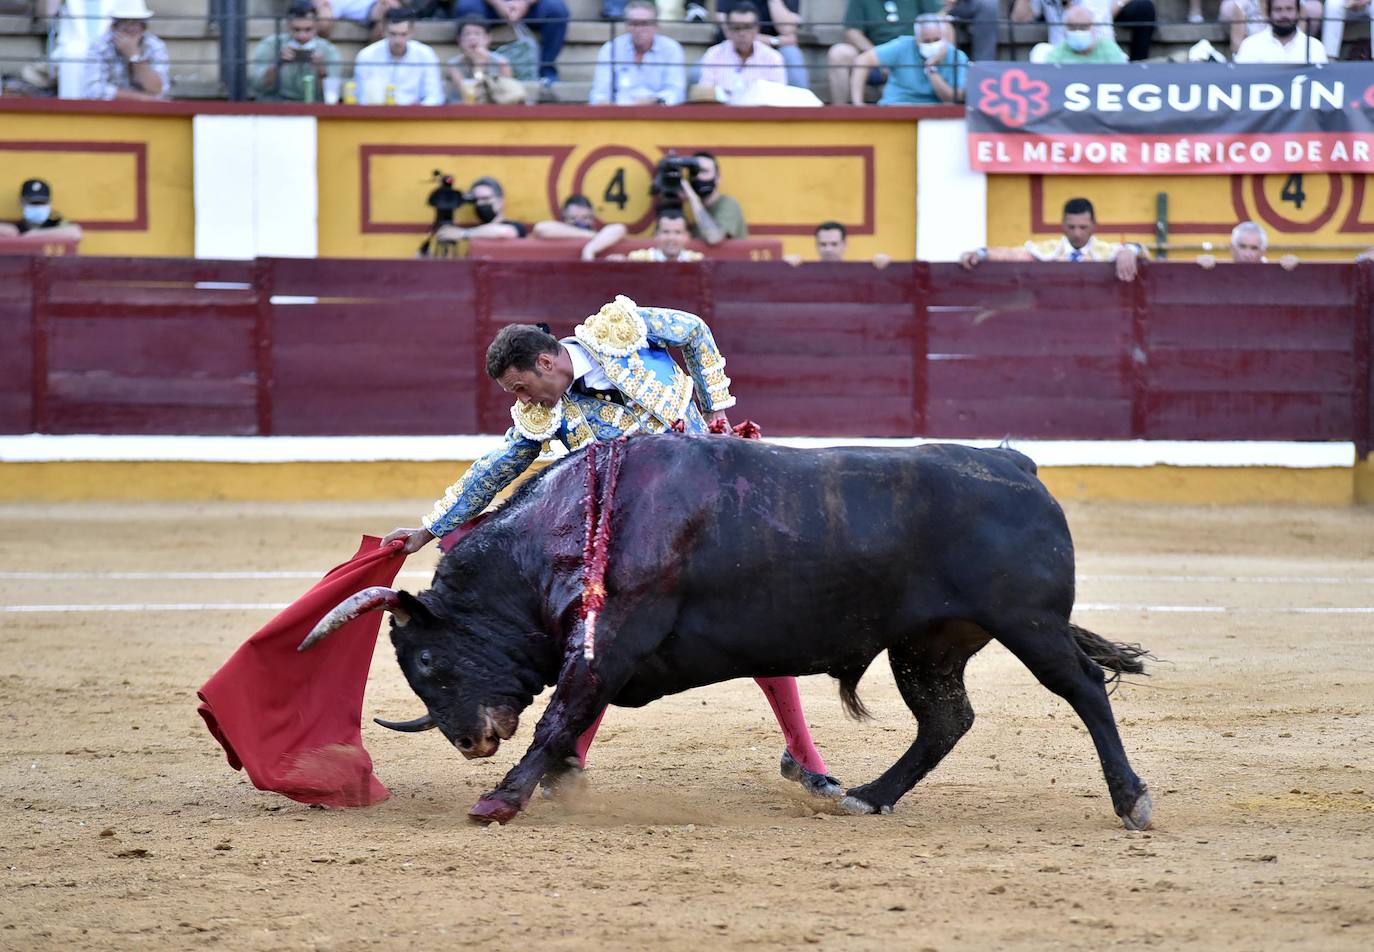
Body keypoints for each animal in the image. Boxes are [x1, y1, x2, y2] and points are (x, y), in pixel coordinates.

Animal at [306, 434, 1154, 829]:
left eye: (425, 660)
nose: (471, 741)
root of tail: (1020, 469)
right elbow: (571, 720)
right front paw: (548, 784)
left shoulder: (613, 639)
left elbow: (559, 717)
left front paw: (501, 799)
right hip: (930, 644)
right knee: (946, 719)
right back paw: (866, 797)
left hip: (1029, 624)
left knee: (1084, 691)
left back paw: (1132, 802)